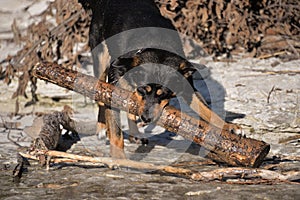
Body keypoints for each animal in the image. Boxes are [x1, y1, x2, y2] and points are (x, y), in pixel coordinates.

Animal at [78, 0, 243, 159]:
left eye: (163, 94)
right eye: (142, 90)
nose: (146, 118)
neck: (157, 44)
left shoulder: (188, 88)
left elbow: (207, 110)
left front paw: (227, 127)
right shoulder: (115, 86)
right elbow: (115, 129)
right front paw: (119, 158)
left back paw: (135, 134)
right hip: (101, 60)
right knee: (99, 96)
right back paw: (101, 128)